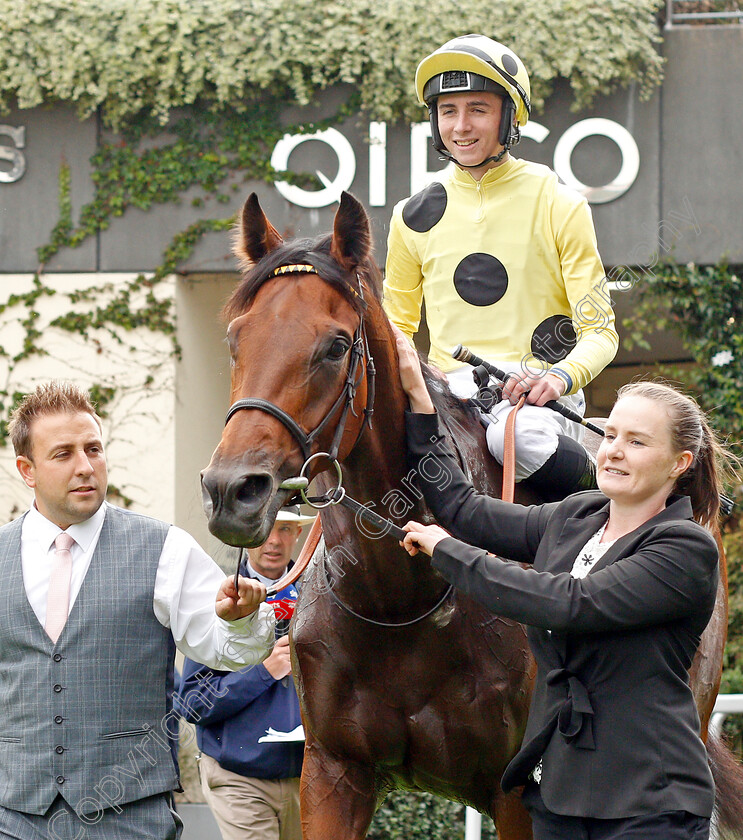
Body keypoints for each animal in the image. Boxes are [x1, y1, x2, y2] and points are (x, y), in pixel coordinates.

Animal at [199, 192, 740, 840]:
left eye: (335, 345)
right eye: (235, 339)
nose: (232, 490)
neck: (397, 603)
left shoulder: (518, 794)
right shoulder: (332, 772)